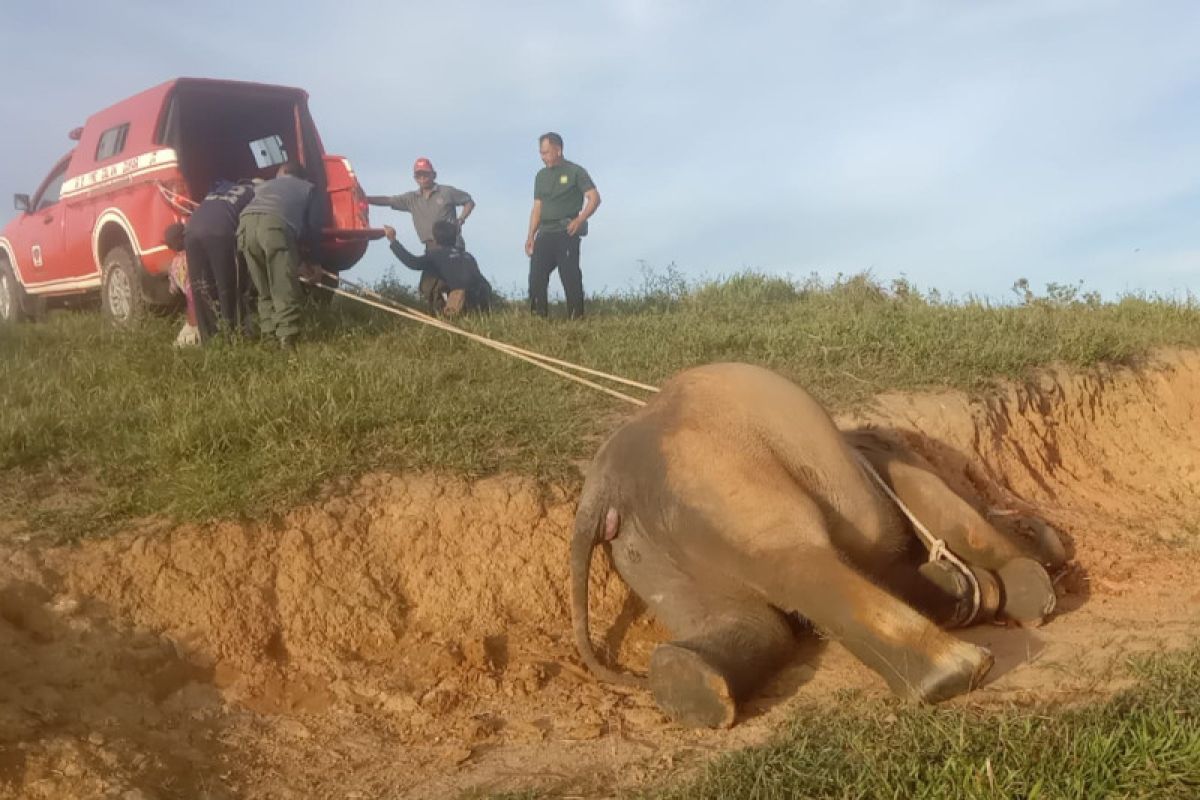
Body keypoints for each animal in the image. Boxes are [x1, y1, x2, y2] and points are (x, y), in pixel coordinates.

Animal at [573, 367, 1070, 729]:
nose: (1057, 542)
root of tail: (603, 487)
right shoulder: (896, 463)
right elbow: (949, 515)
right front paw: (1028, 586)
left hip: (647, 549)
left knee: (755, 621)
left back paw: (686, 682)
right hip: (714, 478)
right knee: (797, 563)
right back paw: (957, 674)